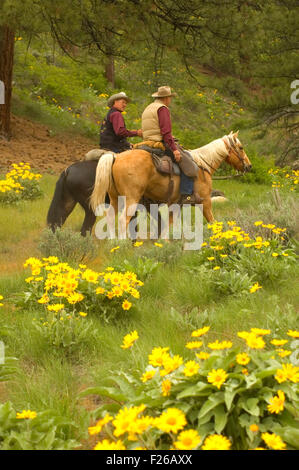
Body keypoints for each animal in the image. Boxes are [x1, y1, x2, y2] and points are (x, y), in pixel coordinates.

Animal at [89, 131, 253, 229]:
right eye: (241, 147)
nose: (249, 166)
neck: (203, 165)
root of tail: (116, 157)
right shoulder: (205, 201)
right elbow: (212, 222)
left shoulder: (175, 205)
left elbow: (169, 225)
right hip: (131, 198)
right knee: (123, 220)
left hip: (115, 198)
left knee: (111, 218)